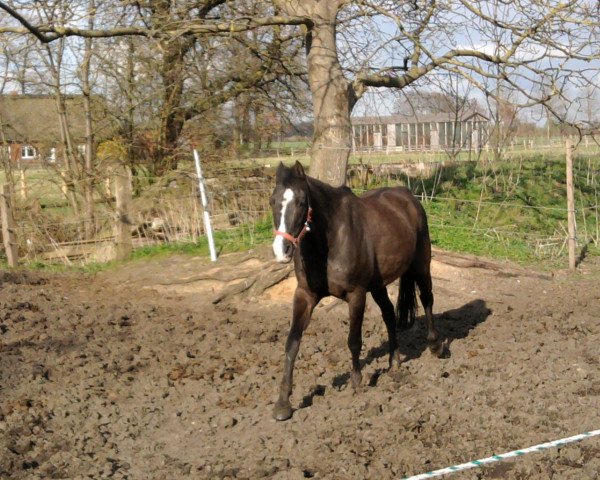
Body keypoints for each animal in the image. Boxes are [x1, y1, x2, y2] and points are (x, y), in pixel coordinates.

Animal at [270, 161, 442, 420]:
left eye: (301, 202)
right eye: (272, 201)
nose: (282, 250)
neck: (330, 240)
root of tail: (408, 197)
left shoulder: (356, 295)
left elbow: (353, 340)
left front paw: (357, 381)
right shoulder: (305, 295)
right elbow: (292, 342)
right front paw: (283, 404)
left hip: (421, 266)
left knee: (427, 300)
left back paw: (435, 346)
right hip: (379, 285)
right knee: (389, 314)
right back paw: (394, 362)